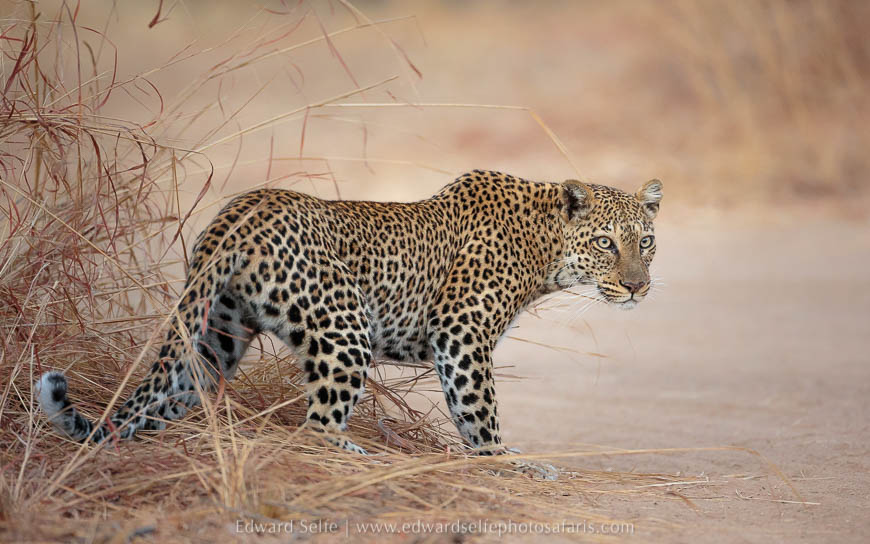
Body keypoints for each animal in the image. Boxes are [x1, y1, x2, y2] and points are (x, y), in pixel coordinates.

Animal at [36, 170, 662, 474]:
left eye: (647, 242)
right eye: (606, 244)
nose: (637, 287)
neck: (547, 246)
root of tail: (241, 211)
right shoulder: (461, 333)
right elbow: (478, 410)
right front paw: (508, 463)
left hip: (217, 335)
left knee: (167, 395)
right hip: (344, 326)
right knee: (314, 429)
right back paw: (355, 454)